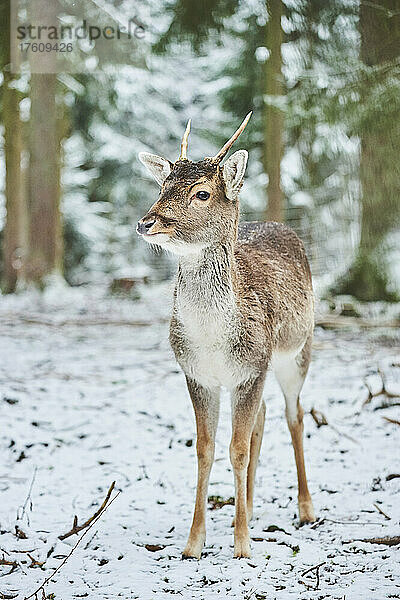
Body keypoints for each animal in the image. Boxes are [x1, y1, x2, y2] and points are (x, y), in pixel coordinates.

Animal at [138, 115, 316, 560]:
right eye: (162, 187)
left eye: (201, 193)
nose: (148, 221)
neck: (214, 341)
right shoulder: (198, 374)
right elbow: (206, 449)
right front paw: (193, 543)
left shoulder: (253, 367)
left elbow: (236, 448)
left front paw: (242, 546)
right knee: (263, 418)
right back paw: (249, 504)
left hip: (297, 351)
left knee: (294, 414)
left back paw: (305, 508)